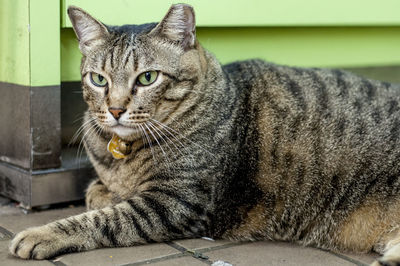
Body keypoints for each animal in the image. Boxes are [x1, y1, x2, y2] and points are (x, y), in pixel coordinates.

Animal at [8, 3, 400, 264]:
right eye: (98, 79)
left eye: (147, 78)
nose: (115, 109)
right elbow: (95, 191)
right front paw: (107, 191)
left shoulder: (175, 203)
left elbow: (104, 219)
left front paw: (41, 233)